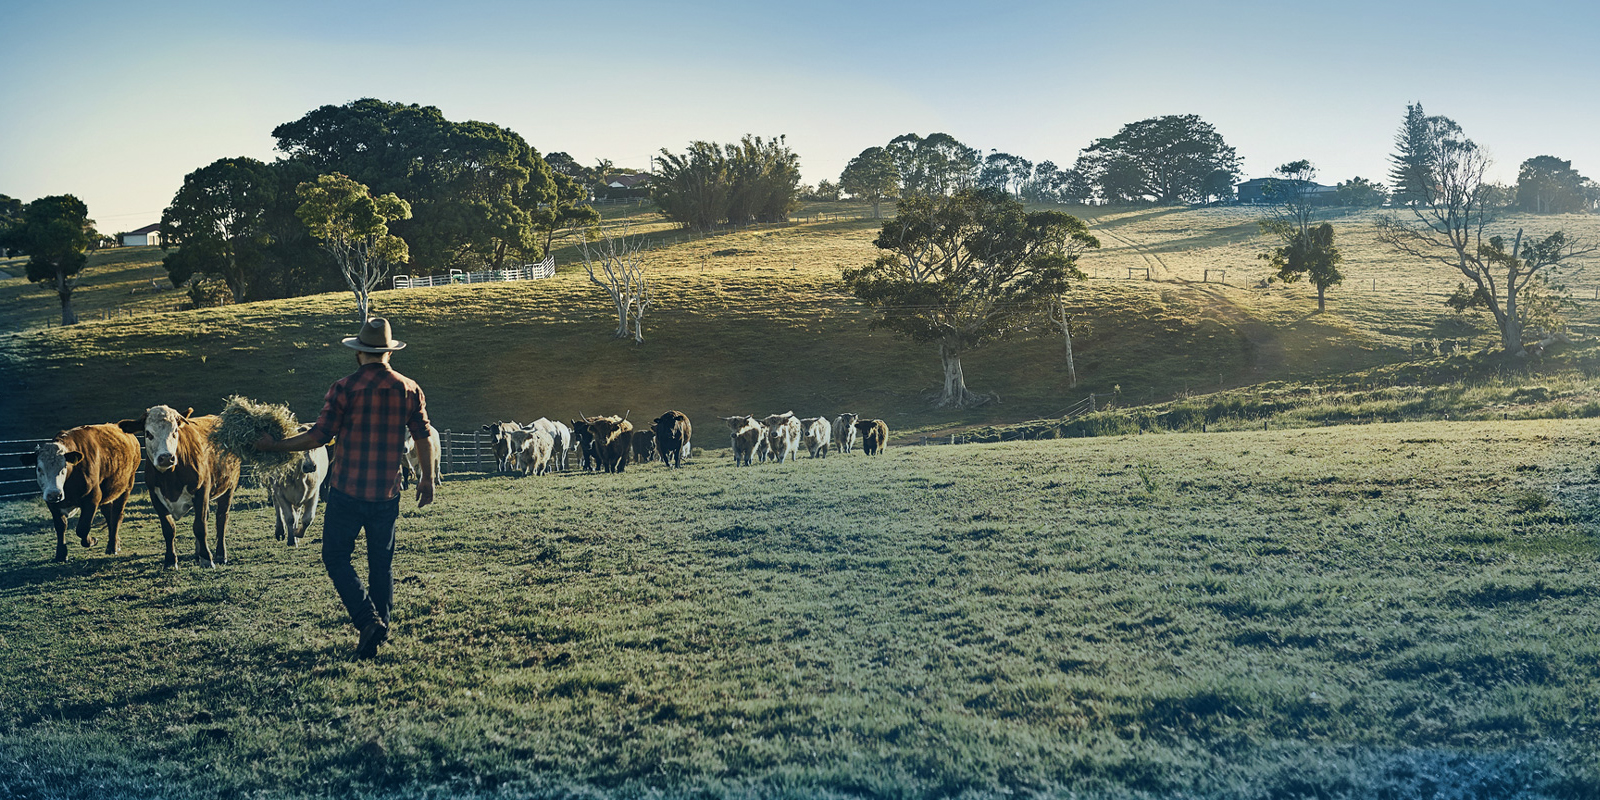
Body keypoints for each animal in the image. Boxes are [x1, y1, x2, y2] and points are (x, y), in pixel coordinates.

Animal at [19, 425, 140, 563]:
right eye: (39, 469)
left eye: (64, 468)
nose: (55, 494)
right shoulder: (52, 503)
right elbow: (60, 527)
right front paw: (61, 554)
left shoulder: (93, 498)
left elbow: (82, 528)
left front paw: (92, 540)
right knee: (109, 515)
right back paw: (114, 543)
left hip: (126, 487)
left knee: (116, 516)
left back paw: (112, 547)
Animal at [118, 406, 241, 569]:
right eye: (148, 433)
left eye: (175, 431)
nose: (166, 457)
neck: (170, 478)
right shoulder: (155, 496)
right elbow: (169, 529)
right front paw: (170, 561)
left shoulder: (202, 491)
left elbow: (200, 526)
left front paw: (207, 558)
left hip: (229, 486)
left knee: (221, 518)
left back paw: (221, 555)